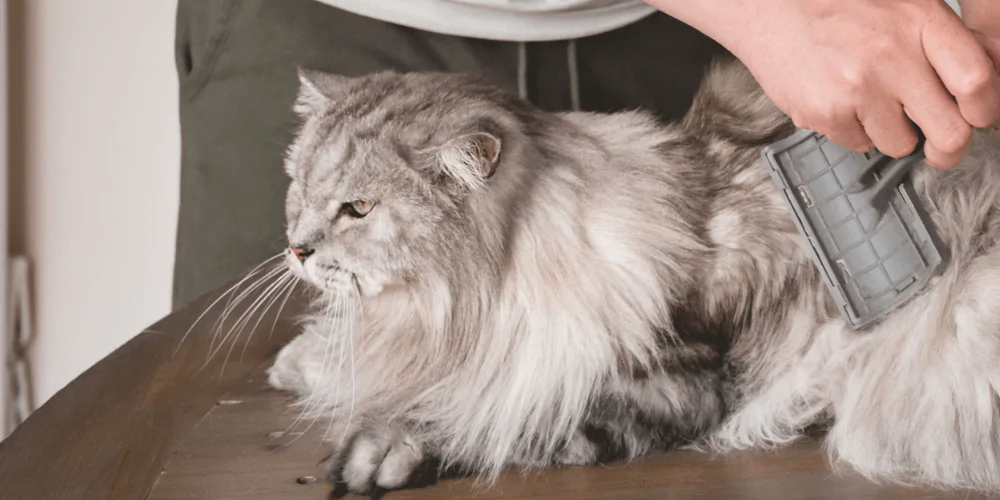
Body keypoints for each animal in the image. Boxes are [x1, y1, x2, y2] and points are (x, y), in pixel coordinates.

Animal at [264, 56, 1000, 494]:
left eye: (357, 210)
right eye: (299, 188)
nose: (297, 249)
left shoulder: (676, 381)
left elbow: (496, 416)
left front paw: (381, 449)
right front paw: (300, 363)